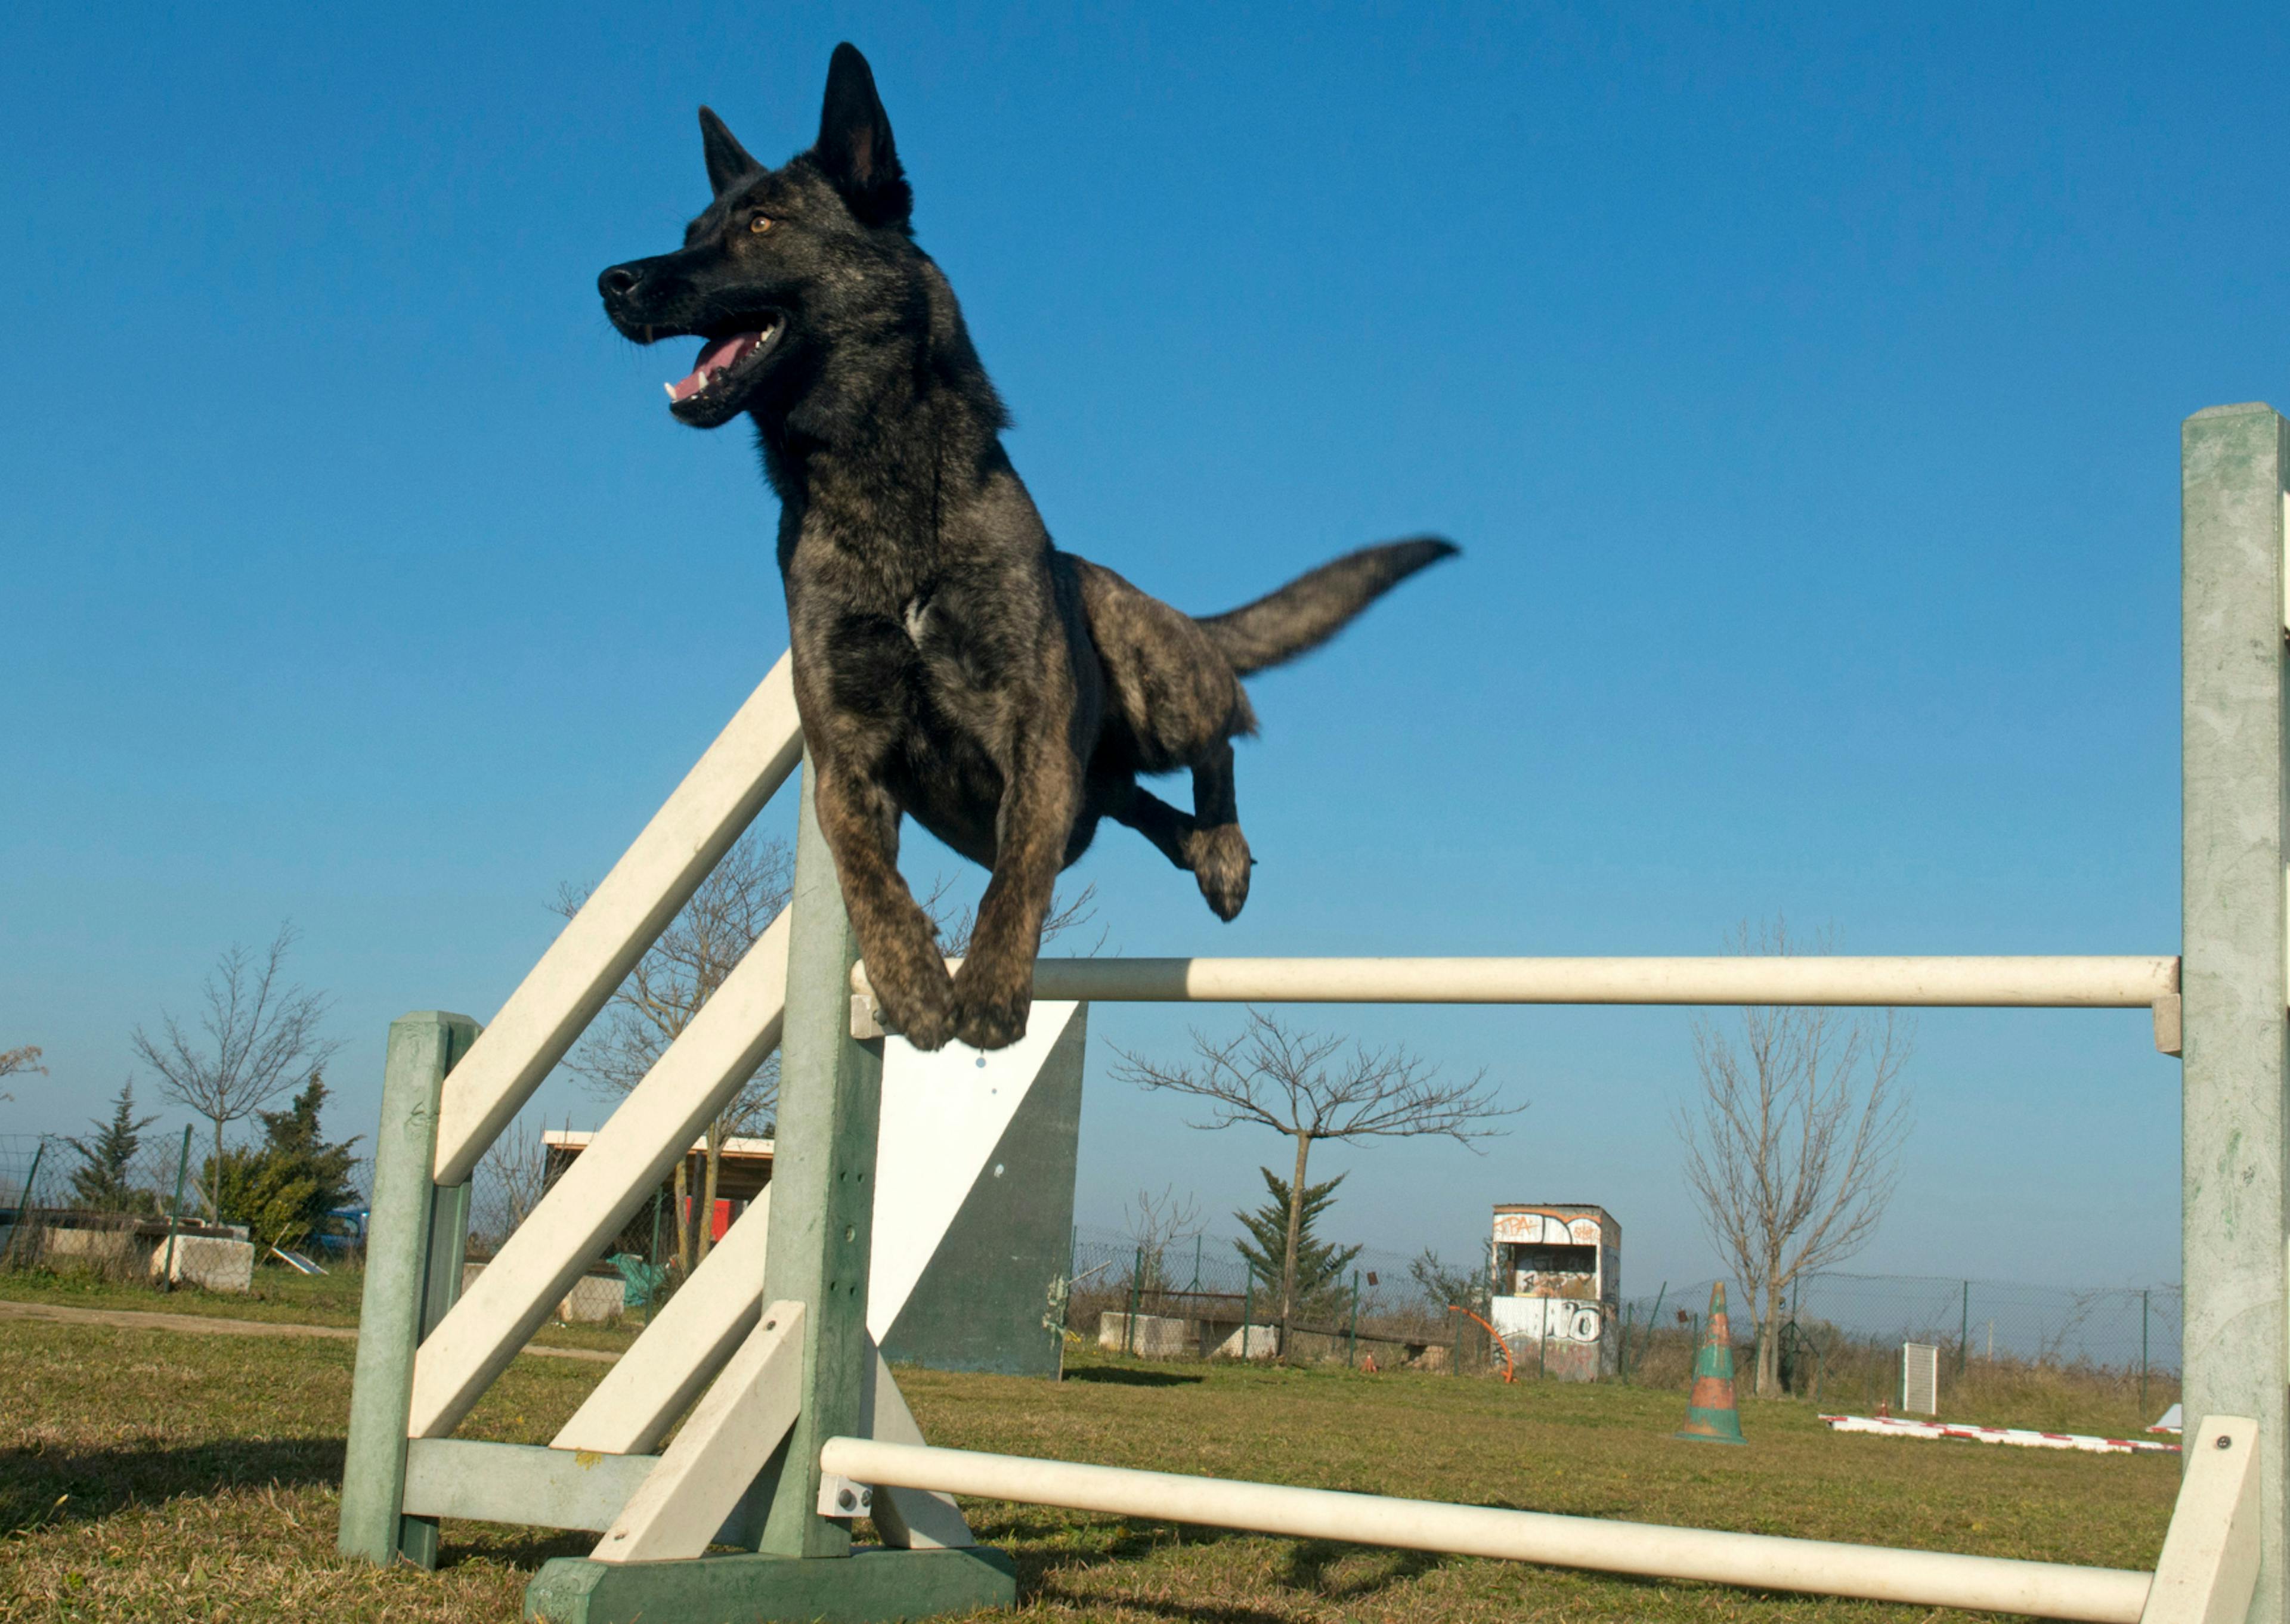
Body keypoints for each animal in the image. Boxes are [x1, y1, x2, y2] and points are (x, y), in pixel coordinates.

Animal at [600, 44, 1456, 1053]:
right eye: (692, 229)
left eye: (762, 223)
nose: (612, 280)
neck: (886, 491)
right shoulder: (845, 757)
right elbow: (867, 876)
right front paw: (913, 981)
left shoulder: (1034, 730)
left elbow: (1015, 880)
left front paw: (992, 989)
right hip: (1103, 776)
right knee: (1139, 803)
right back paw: (1195, 846)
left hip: (1153, 680)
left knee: (1224, 727)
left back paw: (1223, 849)